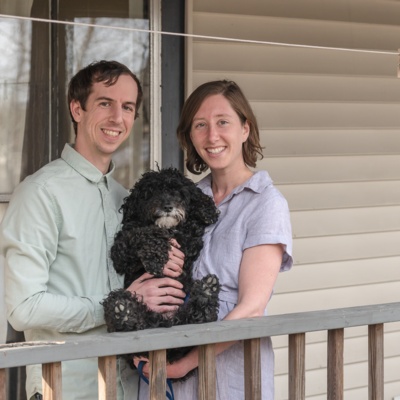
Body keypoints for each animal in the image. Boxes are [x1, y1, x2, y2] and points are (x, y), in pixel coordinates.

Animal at [103, 167, 220, 380]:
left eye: (178, 192)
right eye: (151, 193)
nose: (167, 206)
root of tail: (163, 322)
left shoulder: (190, 242)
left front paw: (205, 209)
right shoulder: (120, 252)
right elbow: (144, 232)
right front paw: (156, 257)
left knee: (196, 318)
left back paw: (207, 294)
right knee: (129, 323)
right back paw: (122, 310)